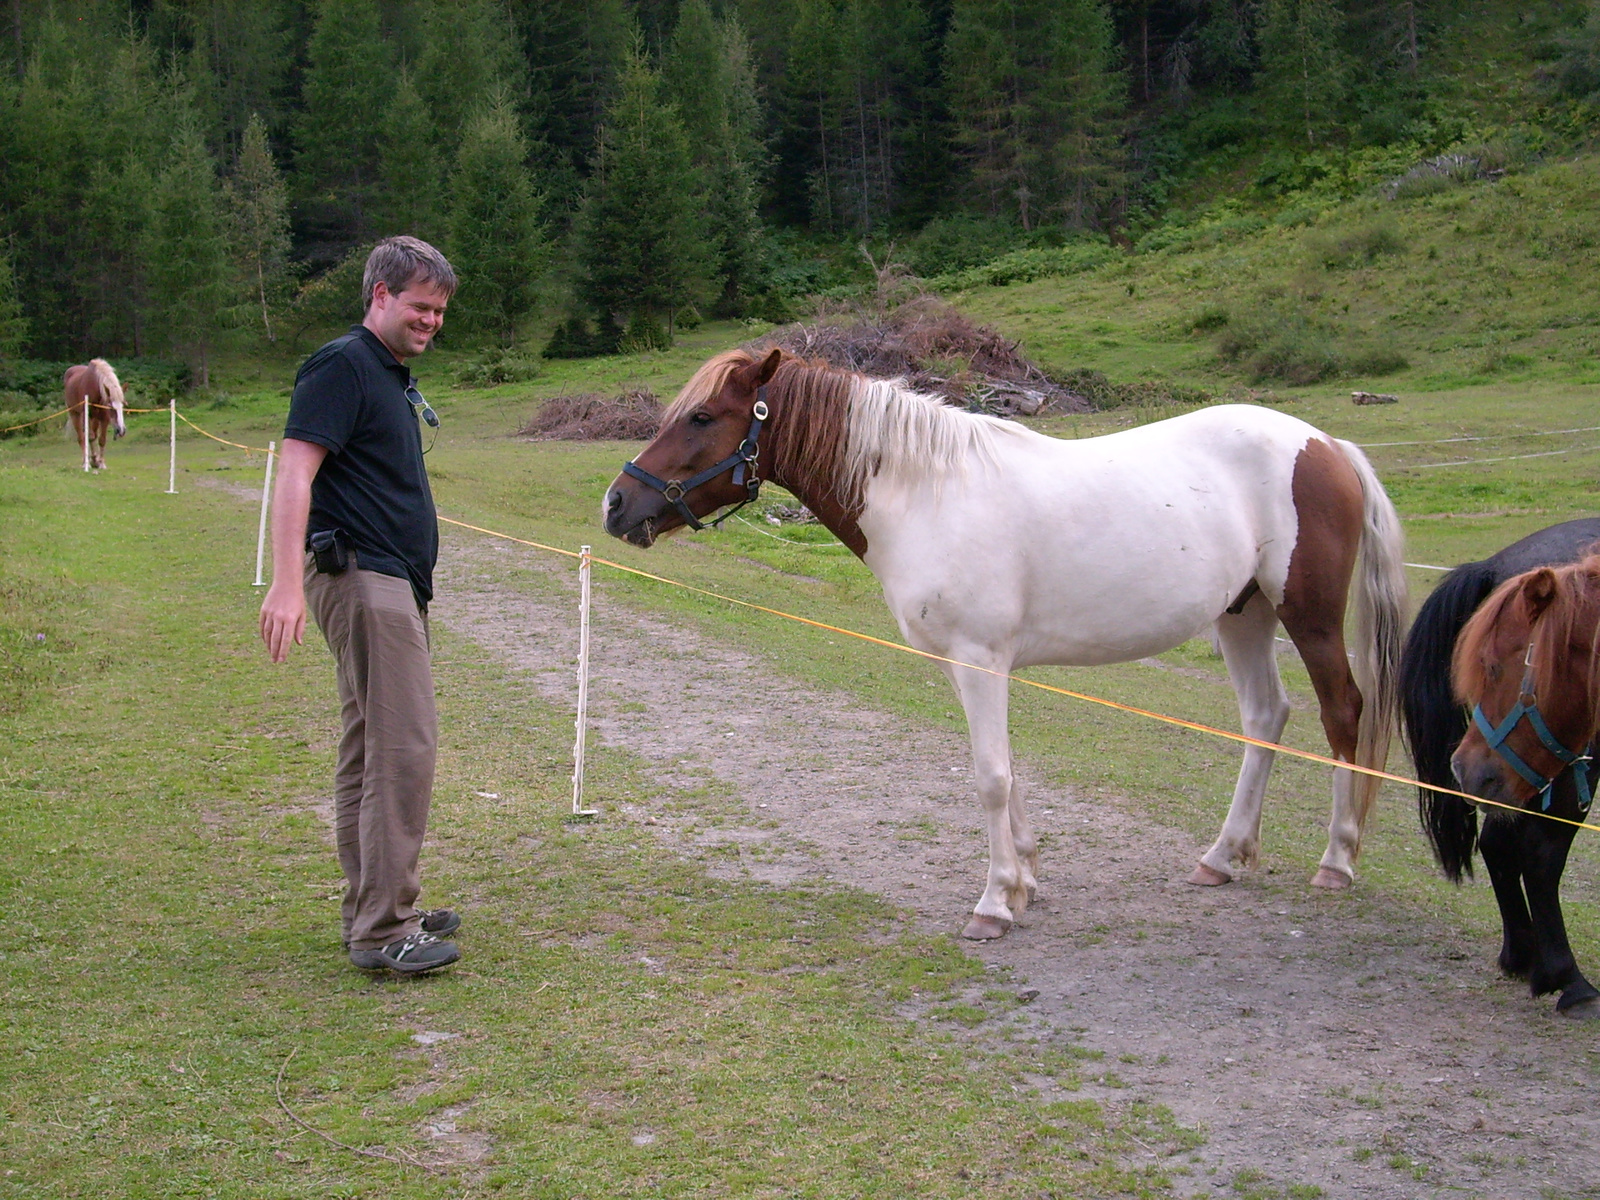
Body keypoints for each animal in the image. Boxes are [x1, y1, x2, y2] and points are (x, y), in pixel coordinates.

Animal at [604, 347, 1408, 940]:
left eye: (703, 416)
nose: (617, 504)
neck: (926, 492)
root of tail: (1327, 444)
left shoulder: (980, 659)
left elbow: (990, 777)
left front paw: (993, 904)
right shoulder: (973, 665)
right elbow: (1008, 772)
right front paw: (1024, 878)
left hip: (1307, 616)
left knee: (1343, 713)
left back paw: (1336, 860)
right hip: (1243, 615)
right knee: (1266, 718)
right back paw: (1222, 857)